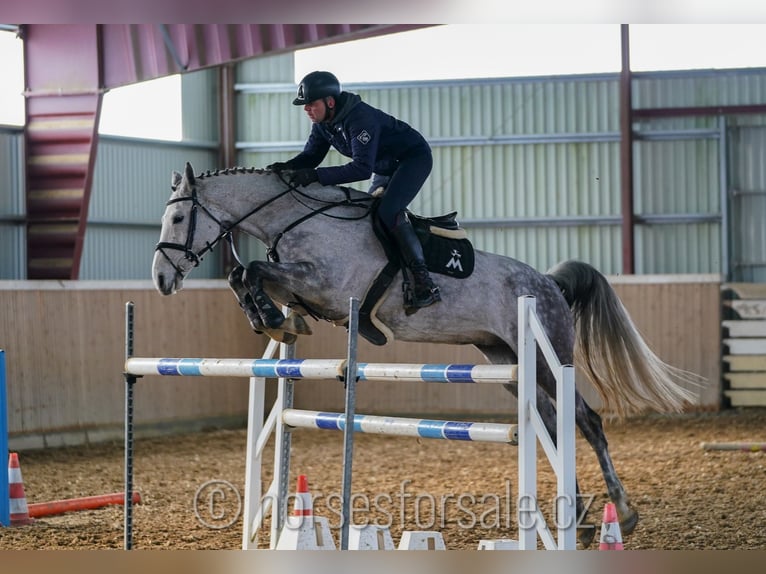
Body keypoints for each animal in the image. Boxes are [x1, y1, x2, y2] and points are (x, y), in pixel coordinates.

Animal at [153, 163, 700, 548]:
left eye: (178, 217)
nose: (161, 279)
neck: (300, 220)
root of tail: (548, 283)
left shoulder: (325, 285)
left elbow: (253, 270)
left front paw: (270, 314)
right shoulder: (307, 288)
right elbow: (245, 275)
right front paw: (275, 319)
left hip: (548, 355)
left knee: (586, 420)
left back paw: (622, 514)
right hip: (506, 362)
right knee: (551, 421)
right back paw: (584, 523)